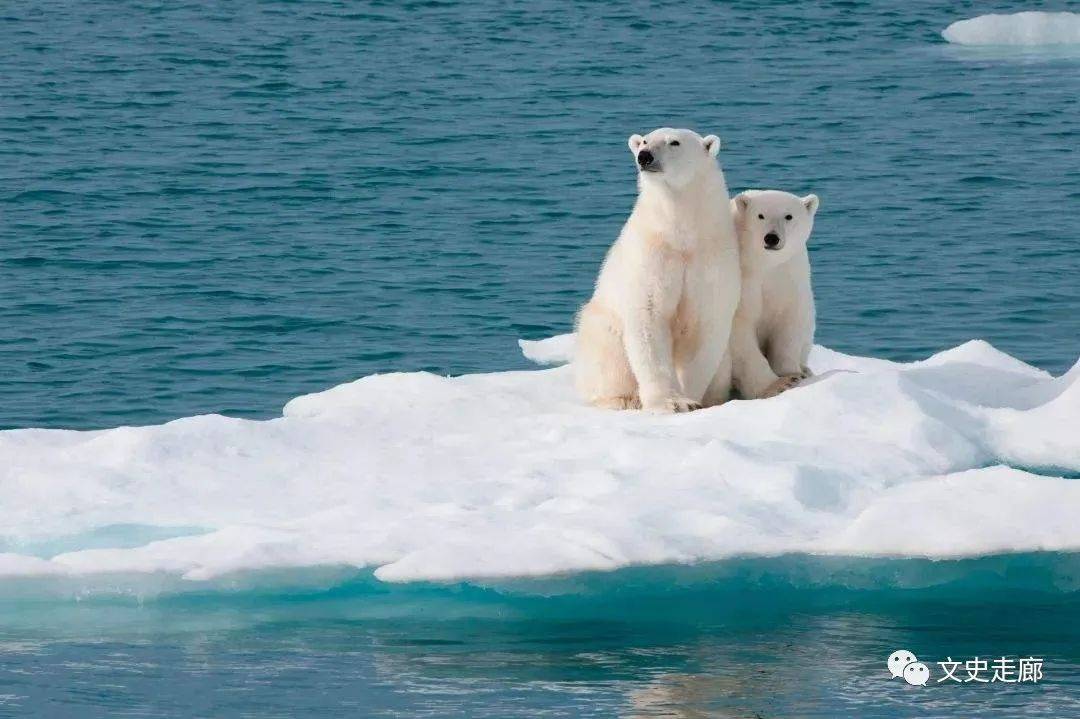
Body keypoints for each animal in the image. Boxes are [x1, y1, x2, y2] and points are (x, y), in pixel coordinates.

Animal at [574, 125, 743, 412]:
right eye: (643, 140)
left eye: (673, 142)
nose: (644, 156)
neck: (681, 233)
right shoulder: (652, 254)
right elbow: (649, 315)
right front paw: (672, 402)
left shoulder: (712, 259)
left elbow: (705, 325)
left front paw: (691, 398)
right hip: (603, 325)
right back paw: (623, 398)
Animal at [730, 187, 820, 397]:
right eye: (760, 215)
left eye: (788, 216)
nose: (771, 238)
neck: (764, 263)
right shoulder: (745, 283)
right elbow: (741, 333)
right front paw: (776, 385)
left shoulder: (789, 275)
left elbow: (788, 324)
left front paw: (793, 374)